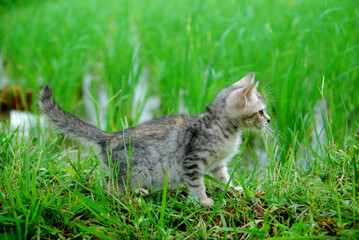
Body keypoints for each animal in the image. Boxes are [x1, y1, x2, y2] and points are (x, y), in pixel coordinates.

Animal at [39, 72, 270, 205]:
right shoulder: (193, 160)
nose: (268, 120)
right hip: (135, 169)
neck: (223, 127)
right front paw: (202, 200)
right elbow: (197, 183)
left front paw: (233, 188)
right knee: (107, 185)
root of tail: (109, 136)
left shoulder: (218, 163)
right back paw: (130, 199)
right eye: (260, 111)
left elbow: (223, 177)